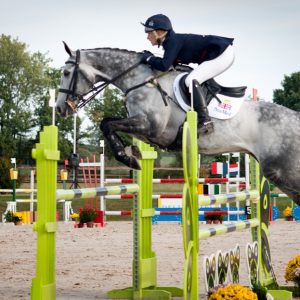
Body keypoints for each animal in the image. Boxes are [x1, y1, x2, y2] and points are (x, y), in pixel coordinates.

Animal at [55, 43, 300, 205]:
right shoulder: (145, 130)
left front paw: (128, 157)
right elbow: (108, 124)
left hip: (282, 172)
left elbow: (107, 124)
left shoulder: (150, 126)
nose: (59, 108)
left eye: (66, 73)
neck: (140, 80)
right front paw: (133, 153)